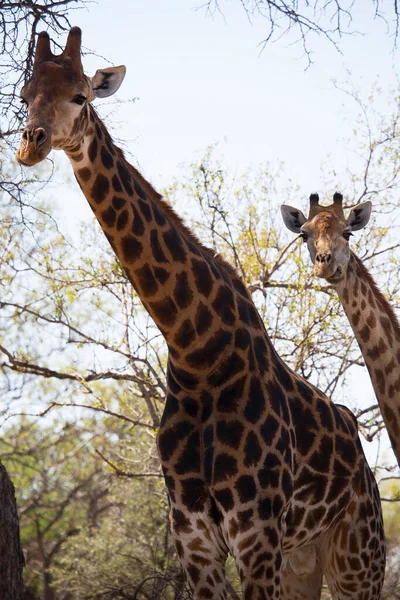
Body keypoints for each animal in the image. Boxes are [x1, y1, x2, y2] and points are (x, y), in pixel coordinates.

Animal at [17, 28, 386, 600]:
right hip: (303, 558)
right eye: (25, 95)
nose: (29, 143)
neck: (196, 350)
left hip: (356, 556)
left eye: (80, 95)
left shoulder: (256, 535)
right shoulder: (193, 536)